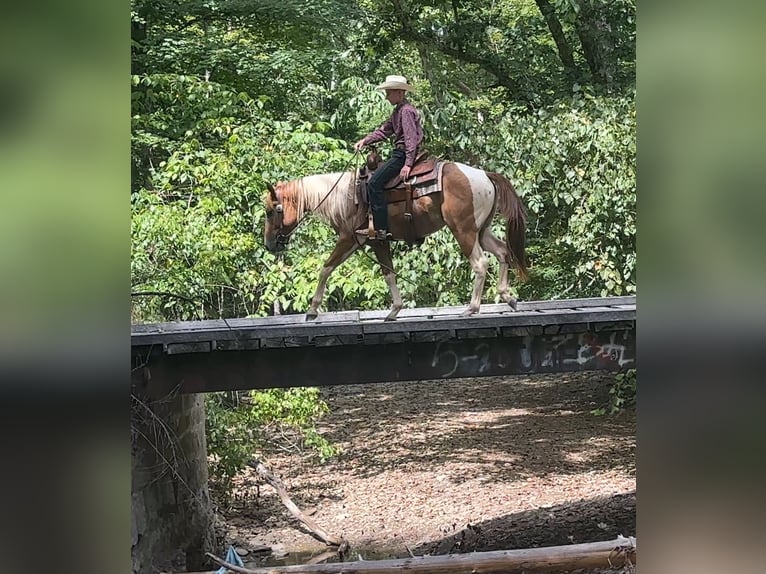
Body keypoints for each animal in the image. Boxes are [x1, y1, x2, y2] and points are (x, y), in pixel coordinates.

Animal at [263, 156, 528, 321]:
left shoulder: (348, 239)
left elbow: (326, 268)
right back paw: (508, 297)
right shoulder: (375, 241)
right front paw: (394, 311)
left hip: (464, 231)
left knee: (481, 263)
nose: (269, 244)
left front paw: (312, 310)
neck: (345, 197)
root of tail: (485, 175)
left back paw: (472, 308)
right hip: (481, 230)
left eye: (270, 211)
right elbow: (388, 273)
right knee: (503, 251)